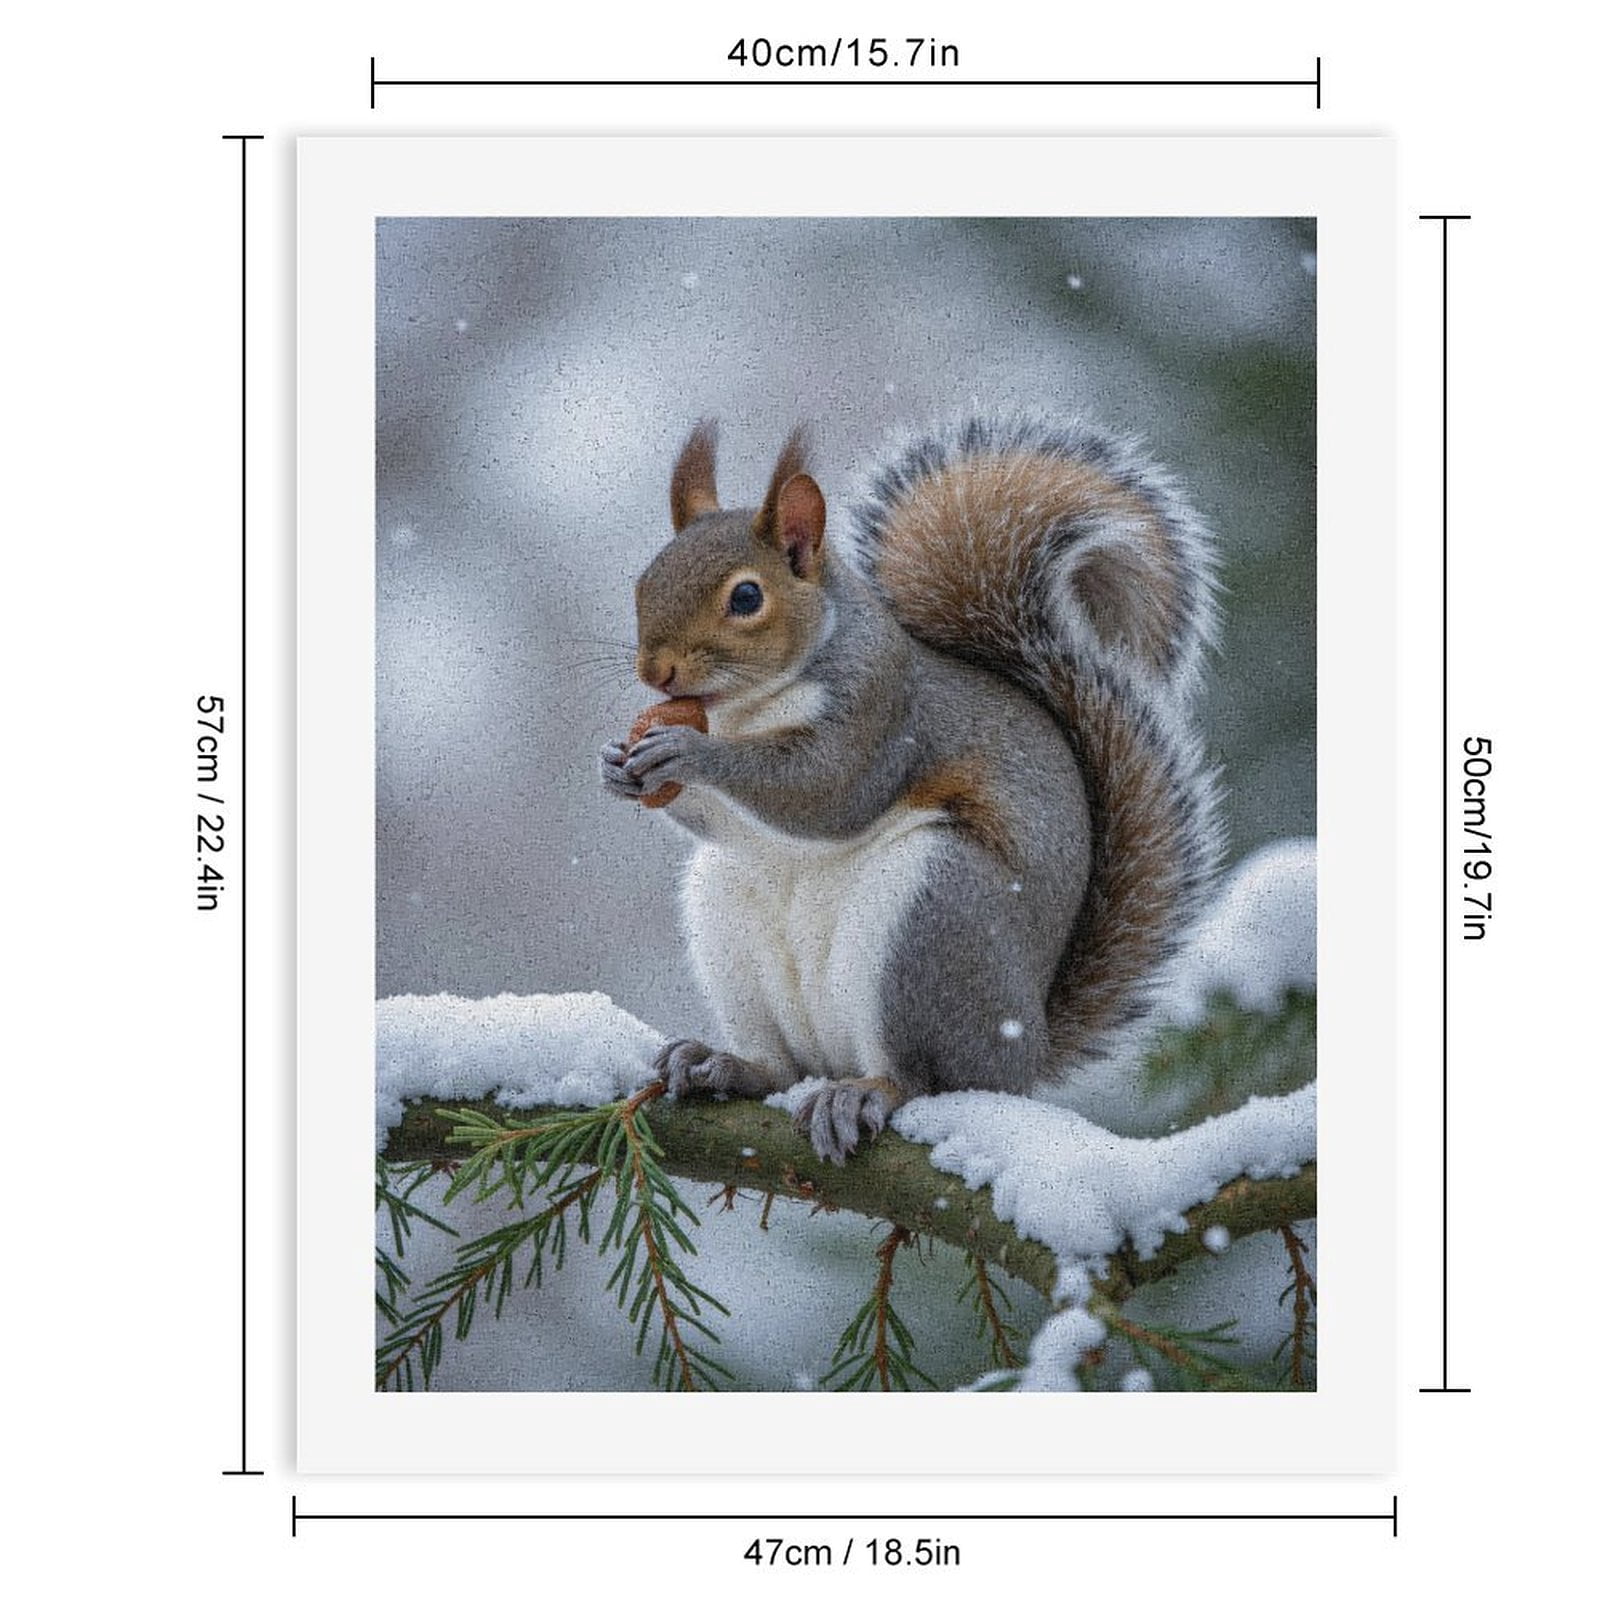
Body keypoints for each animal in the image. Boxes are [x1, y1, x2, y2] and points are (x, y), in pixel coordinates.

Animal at [601, 415, 1221, 1163]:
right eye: (643, 580)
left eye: (746, 597)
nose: (655, 671)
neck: (747, 708)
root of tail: (1025, 1059)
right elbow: (728, 820)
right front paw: (615, 764)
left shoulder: (881, 717)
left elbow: (823, 792)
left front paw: (690, 752)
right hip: (725, 914)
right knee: (782, 1067)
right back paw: (724, 1063)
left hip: (931, 912)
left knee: (921, 1079)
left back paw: (862, 1094)